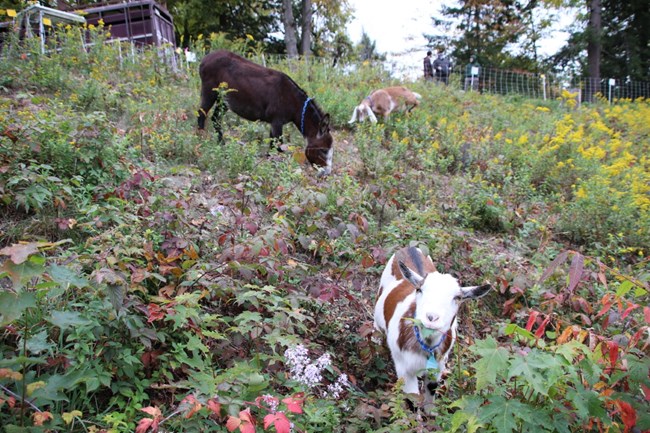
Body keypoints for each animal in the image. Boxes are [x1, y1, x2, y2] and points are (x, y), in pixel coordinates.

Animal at [195, 51, 332, 176]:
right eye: (323, 150)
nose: (326, 174)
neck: (295, 103)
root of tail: (207, 57)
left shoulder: (273, 123)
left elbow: (272, 146)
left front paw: (268, 164)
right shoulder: (277, 122)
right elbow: (278, 146)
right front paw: (276, 168)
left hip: (224, 99)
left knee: (215, 119)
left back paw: (222, 147)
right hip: (210, 92)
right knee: (201, 115)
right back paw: (200, 142)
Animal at [372, 245, 488, 400]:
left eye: (457, 297)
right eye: (419, 289)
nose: (431, 317)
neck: (426, 346)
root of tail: (410, 247)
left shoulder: (438, 367)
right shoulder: (404, 369)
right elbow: (412, 398)